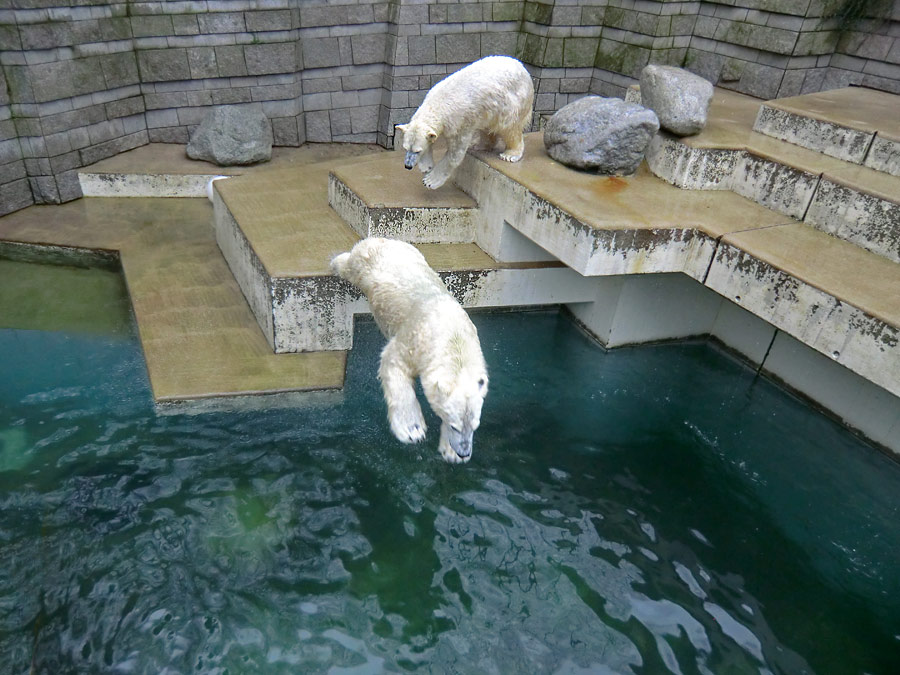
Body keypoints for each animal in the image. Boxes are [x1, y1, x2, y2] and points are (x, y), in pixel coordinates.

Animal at [330, 238, 488, 464]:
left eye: (475, 426)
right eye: (454, 425)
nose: (463, 452)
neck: (453, 339)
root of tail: (387, 240)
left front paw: (450, 453)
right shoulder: (415, 341)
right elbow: (393, 363)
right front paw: (412, 430)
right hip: (366, 263)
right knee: (351, 264)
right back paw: (336, 262)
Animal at [396, 55, 536, 190]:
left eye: (417, 151)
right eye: (405, 148)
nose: (407, 166)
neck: (438, 103)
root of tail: (523, 68)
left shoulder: (460, 122)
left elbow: (455, 152)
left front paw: (430, 180)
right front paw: (426, 166)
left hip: (512, 102)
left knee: (509, 128)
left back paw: (510, 154)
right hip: (489, 108)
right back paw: (479, 145)